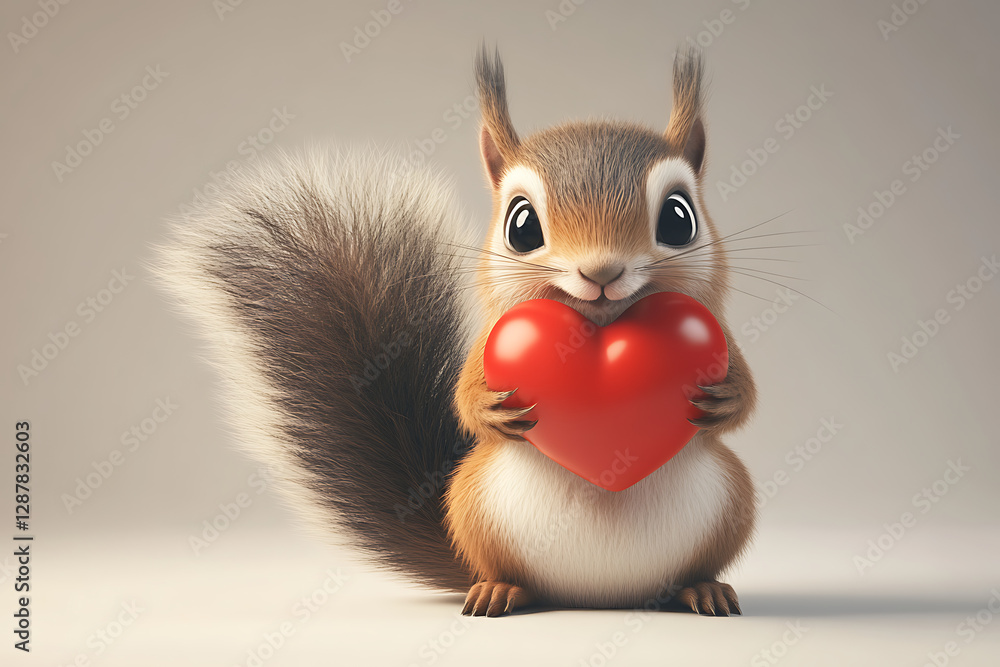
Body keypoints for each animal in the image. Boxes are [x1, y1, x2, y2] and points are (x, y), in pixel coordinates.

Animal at [154, 46, 757, 618]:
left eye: (679, 218)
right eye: (522, 226)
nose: (601, 271)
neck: (597, 327)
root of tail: (599, 596)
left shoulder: (725, 341)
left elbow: (748, 396)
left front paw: (724, 398)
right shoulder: (484, 350)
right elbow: (463, 399)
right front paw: (492, 409)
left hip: (732, 502)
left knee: (692, 571)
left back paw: (702, 589)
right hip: (475, 508)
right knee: (509, 575)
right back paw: (500, 591)